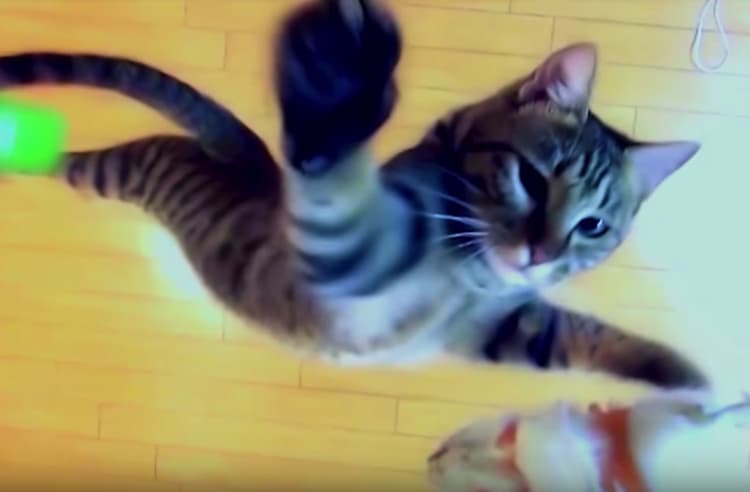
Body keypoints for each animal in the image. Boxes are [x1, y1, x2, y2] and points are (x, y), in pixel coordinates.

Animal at [0, 0, 705, 388]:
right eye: (532, 178)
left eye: (593, 227)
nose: (540, 254)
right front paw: (344, 75)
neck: (470, 278)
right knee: (78, 164)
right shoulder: (347, 265)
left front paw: (686, 380)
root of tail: (247, 158)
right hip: (126, 168)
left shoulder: (491, 326)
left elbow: (574, 332)